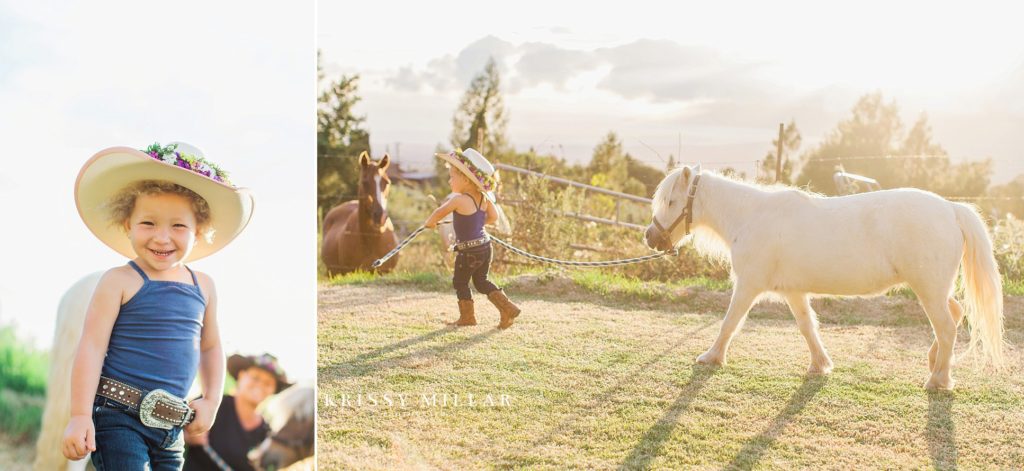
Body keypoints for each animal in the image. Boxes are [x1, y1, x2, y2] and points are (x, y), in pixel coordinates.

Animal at [643, 165, 1003, 389]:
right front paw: (820, 364)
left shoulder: (748, 285)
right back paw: (935, 364)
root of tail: (952, 209)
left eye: (671, 201)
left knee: (946, 326)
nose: (651, 237)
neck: (751, 216)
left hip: (928, 290)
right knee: (955, 315)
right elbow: (807, 326)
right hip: (935, 290)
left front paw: (711, 357)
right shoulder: (793, 292)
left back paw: (938, 379)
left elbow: (729, 322)